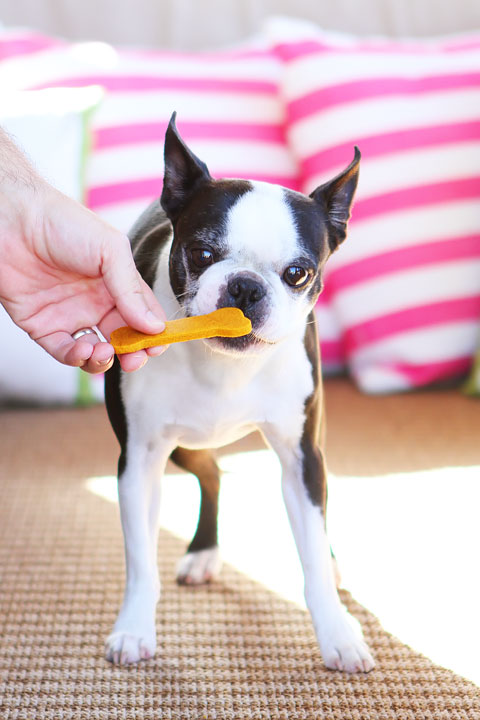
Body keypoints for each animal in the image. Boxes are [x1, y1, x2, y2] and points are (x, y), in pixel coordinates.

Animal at [104, 112, 376, 676]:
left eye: (299, 273)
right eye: (202, 253)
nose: (246, 287)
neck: (224, 367)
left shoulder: (301, 456)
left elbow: (312, 550)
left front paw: (338, 633)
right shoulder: (137, 460)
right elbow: (141, 560)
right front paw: (134, 628)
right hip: (180, 448)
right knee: (210, 474)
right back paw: (203, 551)